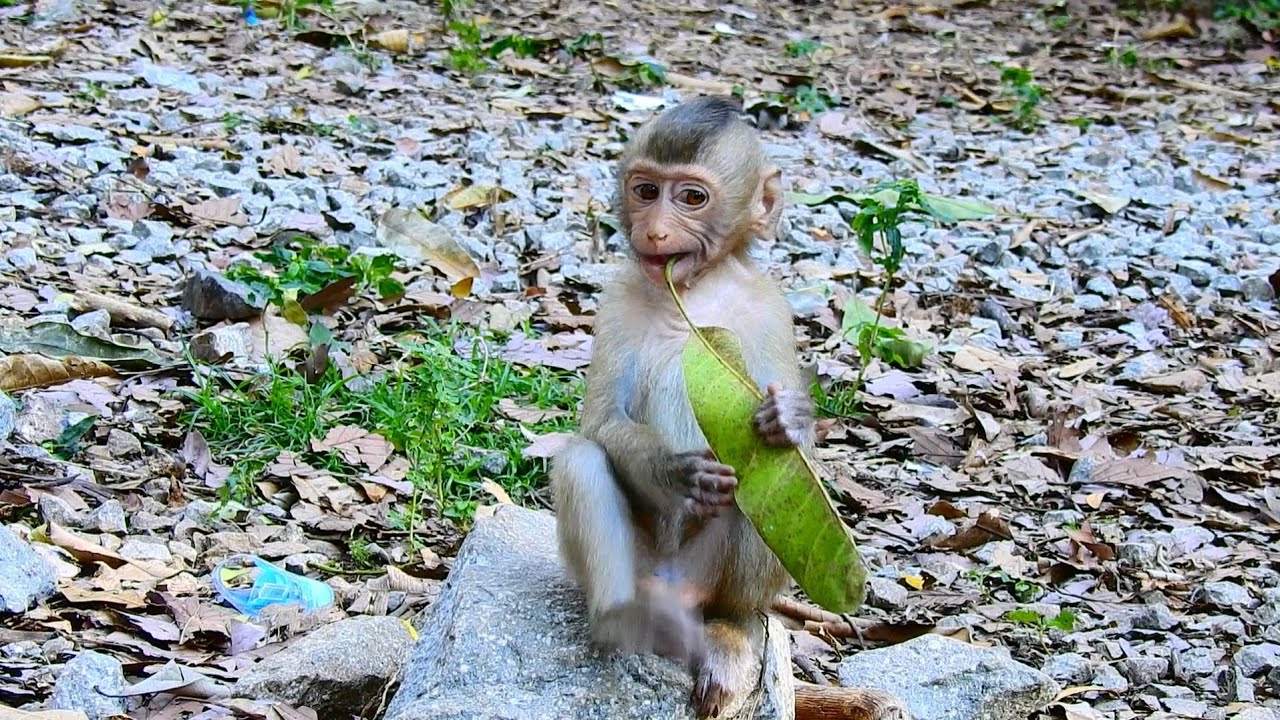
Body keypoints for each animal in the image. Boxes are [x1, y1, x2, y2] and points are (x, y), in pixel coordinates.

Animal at [550, 96, 821, 718]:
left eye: (692, 197)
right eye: (647, 190)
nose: (654, 230)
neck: (692, 294)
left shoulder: (770, 308)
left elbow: (788, 447)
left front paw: (790, 420)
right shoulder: (619, 296)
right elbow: (599, 422)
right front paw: (677, 471)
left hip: (709, 577)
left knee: (764, 482)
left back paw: (729, 628)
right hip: (635, 566)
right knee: (582, 459)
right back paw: (624, 619)